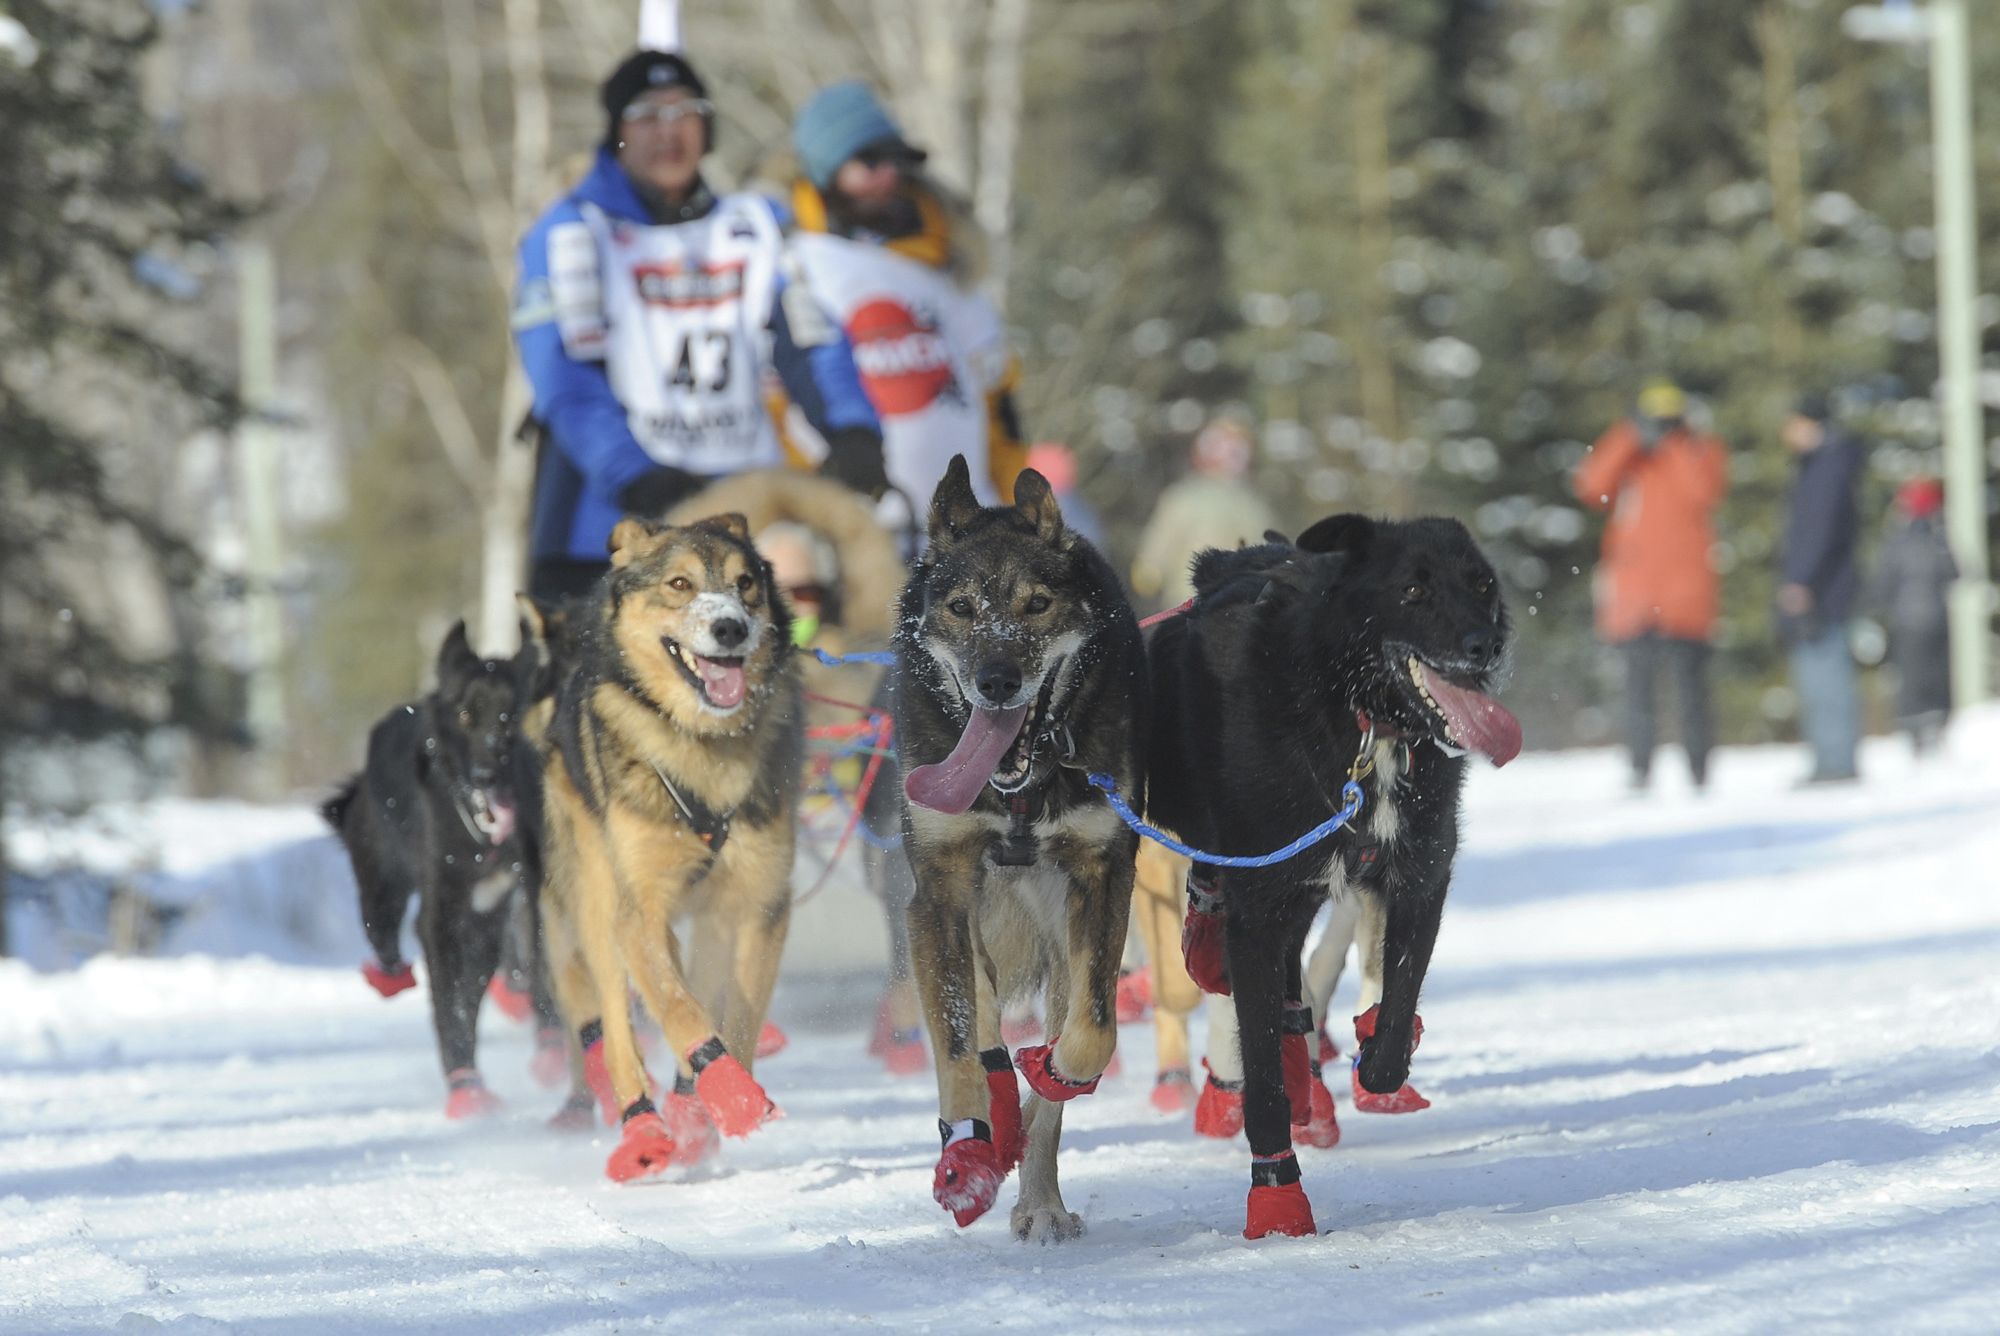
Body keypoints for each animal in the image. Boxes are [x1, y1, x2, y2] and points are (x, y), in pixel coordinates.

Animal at [322, 624, 524, 1120]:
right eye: (467, 714)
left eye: (510, 716)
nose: (487, 774)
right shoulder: (440, 918)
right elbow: (450, 1003)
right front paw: (465, 1085)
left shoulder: (488, 915)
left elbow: (466, 996)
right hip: (381, 888)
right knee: (382, 935)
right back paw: (390, 975)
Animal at [540, 512, 812, 1176]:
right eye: (680, 583)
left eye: (746, 584)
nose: (730, 627)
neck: (701, 745)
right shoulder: (639, 910)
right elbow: (677, 1008)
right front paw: (732, 1096)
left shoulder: (759, 904)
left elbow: (734, 1017)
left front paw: (719, 1104)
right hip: (596, 900)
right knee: (616, 1026)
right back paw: (643, 1129)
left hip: (710, 918)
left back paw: (689, 1115)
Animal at [900, 460, 1152, 1240]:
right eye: (960, 608)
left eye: (1037, 604)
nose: (997, 680)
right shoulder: (939, 892)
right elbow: (958, 1046)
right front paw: (968, 1151)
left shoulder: (1102, 876)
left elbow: (1090, 1036)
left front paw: (1054, 1075)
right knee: (978, 1016)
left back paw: (1040, 1198)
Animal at [1152, 516, 1520, 1240]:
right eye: (1414, 588)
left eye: (1482, 584)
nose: (1486, 644)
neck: (1364, 723)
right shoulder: (1261, 906)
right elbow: (1261, 1075)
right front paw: (1276, 1198)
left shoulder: (1419, 877)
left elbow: (1395, 1005)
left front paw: (1377, 1060)